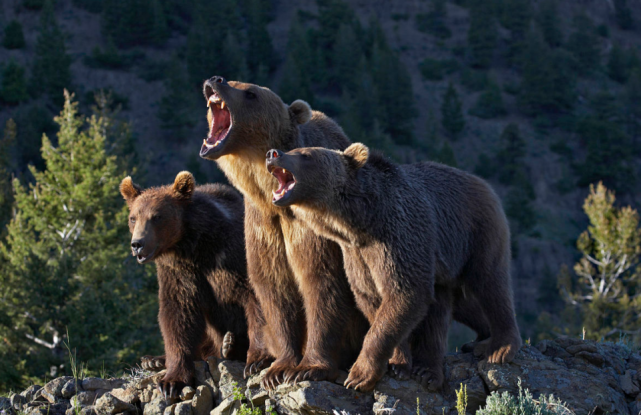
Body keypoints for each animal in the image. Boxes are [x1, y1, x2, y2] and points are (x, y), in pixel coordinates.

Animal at [120, 172, 272, 400]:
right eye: (133, 217)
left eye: (157, 216)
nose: (137, 244)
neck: (193, 248)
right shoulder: (178, 274)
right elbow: (178, 315)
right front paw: (172, 382)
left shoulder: (233, 257)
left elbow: (258, 299)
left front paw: (257, 360)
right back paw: (153, 360)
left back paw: (231, 345)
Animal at [198, 75, 368, 390]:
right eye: (234, 81)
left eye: (250, 93)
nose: (215, 79)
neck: (268, 193)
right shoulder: (263, 225)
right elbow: (273, 286)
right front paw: (280, 367)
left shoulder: (309, 225)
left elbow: (321, 281)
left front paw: (307, 367)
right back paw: (251, 355)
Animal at [264, 144, 520, 394]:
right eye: (293, 149)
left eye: (305, 154)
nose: (273, 153)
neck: (358, 222)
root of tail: (480, 181)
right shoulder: (358, 257)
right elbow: (373, 299)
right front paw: (398, 363)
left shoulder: (397, 237)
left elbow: (404, 292)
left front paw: (359, 375)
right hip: (445, 263)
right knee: (450, 307)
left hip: (476, 233)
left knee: (490, 283)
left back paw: (501, 347)